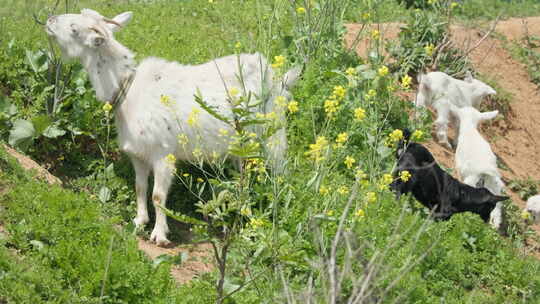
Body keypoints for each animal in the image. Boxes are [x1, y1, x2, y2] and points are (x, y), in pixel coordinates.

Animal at [46, 9, 300, 246]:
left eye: (74, 28)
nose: (49, 20)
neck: (128, 89)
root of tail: (278, 76)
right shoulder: (138, 153)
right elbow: (140, 187)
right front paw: (139, 221)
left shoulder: (163, 154)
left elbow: (158, 196)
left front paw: (159, 234)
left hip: (273, 134)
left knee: (281, 169)